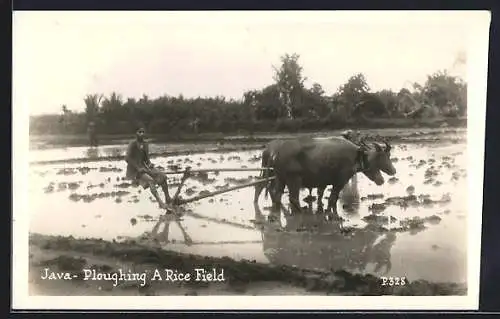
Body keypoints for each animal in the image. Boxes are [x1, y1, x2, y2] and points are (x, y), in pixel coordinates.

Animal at [258, 136, 394, 216]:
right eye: (384, 156)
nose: (393, 170)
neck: (356, 155)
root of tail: (275, 153)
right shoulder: (340, 181)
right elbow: (333, 198)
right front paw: (332, 214)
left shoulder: (324, 183)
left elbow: (326, 197)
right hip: (294, 180)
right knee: (293, 198)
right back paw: (301, 212)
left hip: (280, 179)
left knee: (277, 196)